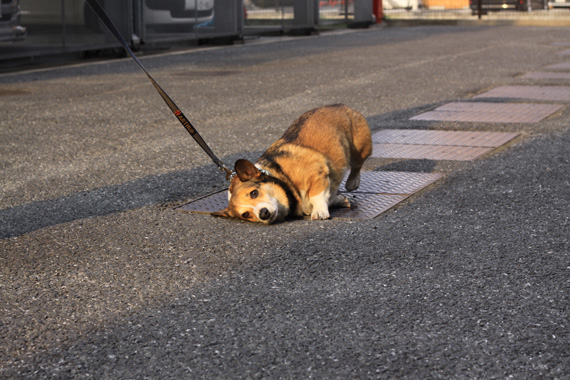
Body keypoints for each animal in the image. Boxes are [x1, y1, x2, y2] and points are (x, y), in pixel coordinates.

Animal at [211, 104, 370, 223]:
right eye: (246, 214)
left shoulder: (317, 172)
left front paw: (319, 211)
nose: (263, 214)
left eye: (254, 193)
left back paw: (353, 182)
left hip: (360, 148)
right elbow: (329, 197)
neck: (284, 180)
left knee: (357, 164)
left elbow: (317, 195)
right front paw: (340, 200)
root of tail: (339, 105)